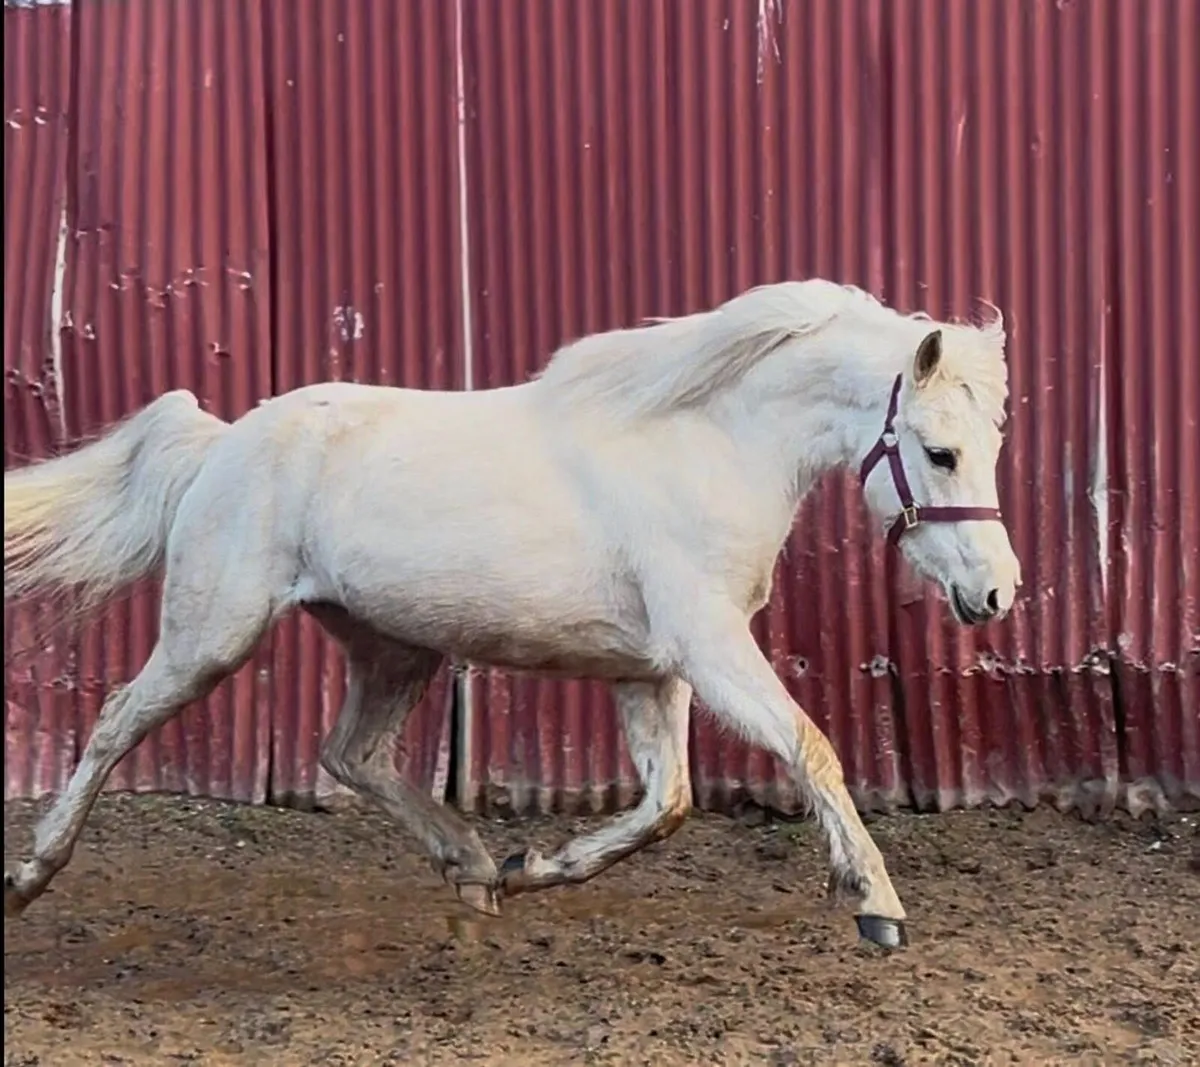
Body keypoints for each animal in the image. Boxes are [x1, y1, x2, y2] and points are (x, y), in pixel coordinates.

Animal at [3, 279, 1020, 948]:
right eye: (938, 451)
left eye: (993, 442)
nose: (997, 593)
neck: (705, 447)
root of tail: (223, 443)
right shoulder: (711, 647)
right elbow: (811, 746)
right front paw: (877, 904)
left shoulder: (654, 670)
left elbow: (668, 803)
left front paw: (539, 868)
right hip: (211, 634)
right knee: (113, 722)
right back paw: (29, 874)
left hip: (392, 647)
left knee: (350, 754)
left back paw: (475, 867)